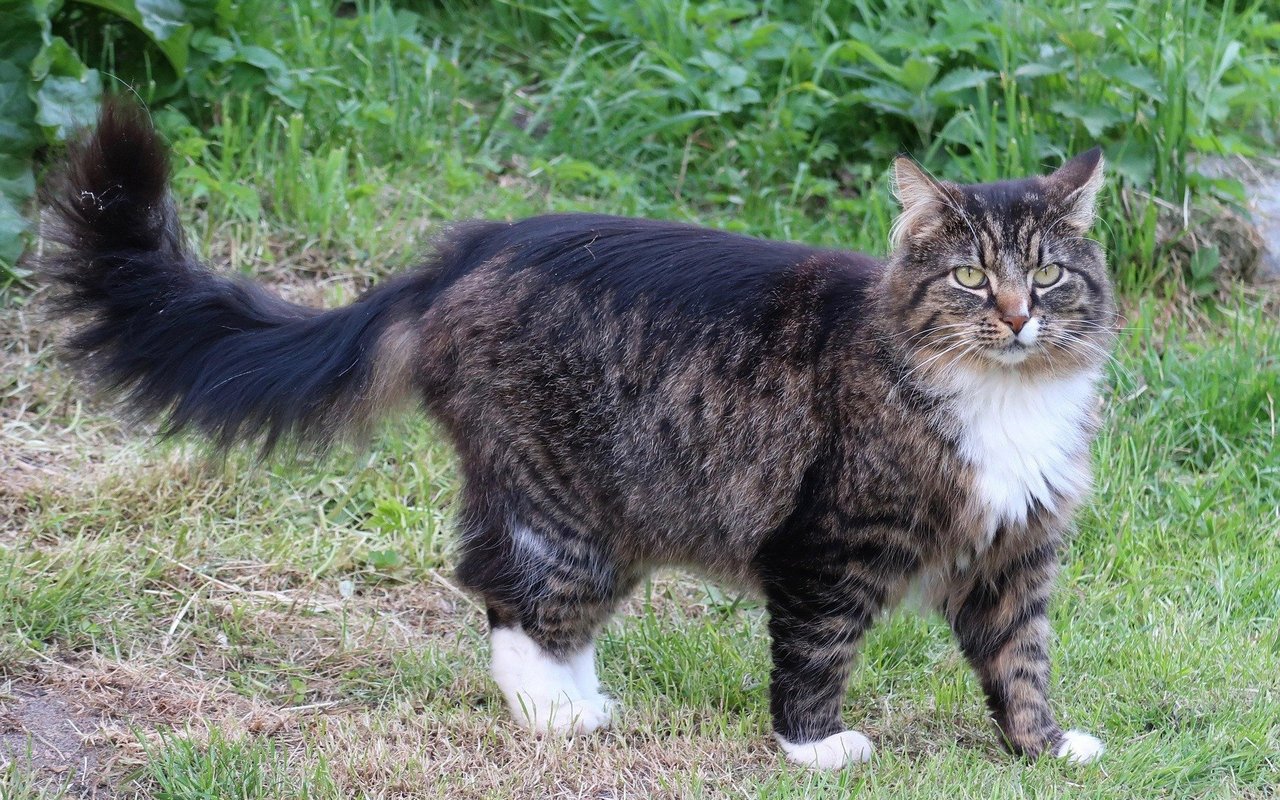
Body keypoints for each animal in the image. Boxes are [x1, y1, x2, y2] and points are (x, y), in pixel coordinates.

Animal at [45, 99, 1116, 768]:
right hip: (564, 501)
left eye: (1047, 274)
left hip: (619, 504)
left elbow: (1022, 662)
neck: (1005, 397)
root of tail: (468, 249)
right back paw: (561, 719)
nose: (1017, 316)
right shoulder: (831, 544)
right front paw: (815, 749)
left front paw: (1045, 747)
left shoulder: (1015, 553)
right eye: (971, 278)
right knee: (512, 600)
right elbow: (818, 651)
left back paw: (584, 701)